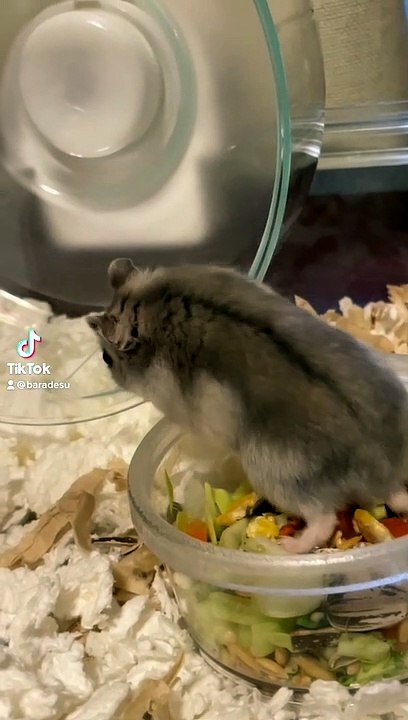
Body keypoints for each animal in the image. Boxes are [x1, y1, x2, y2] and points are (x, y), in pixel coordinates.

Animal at [87, 258, 408, 553]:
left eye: (106, 358)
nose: (111, 375)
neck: (148, 306)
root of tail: (384, 476)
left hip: (278, 479)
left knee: (323, 520)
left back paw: (289, 546)